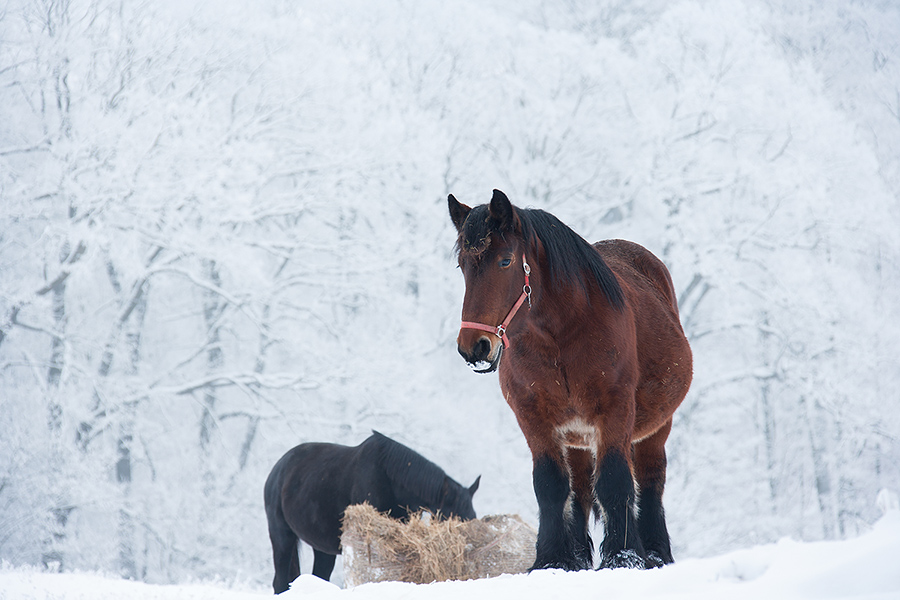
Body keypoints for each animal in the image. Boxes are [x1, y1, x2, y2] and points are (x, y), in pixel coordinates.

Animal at [264, 432, 482, 592]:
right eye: (451, 518)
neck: (389, 479)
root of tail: (278, 470)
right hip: (282, 537)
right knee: (280, 582)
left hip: (322, 549)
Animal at [450, 191, 696, 572]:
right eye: (463, 264)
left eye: (506, 261)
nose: (474, 346)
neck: (560, 340)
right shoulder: (533, 419)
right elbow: (550, 486)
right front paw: (552, 559)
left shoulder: (615, 413)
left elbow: (615, 482)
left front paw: (623, 557)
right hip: (577, 439)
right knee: (579, 489)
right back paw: (580, 555)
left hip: (656, 428)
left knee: (650, 480)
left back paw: (656, 552)